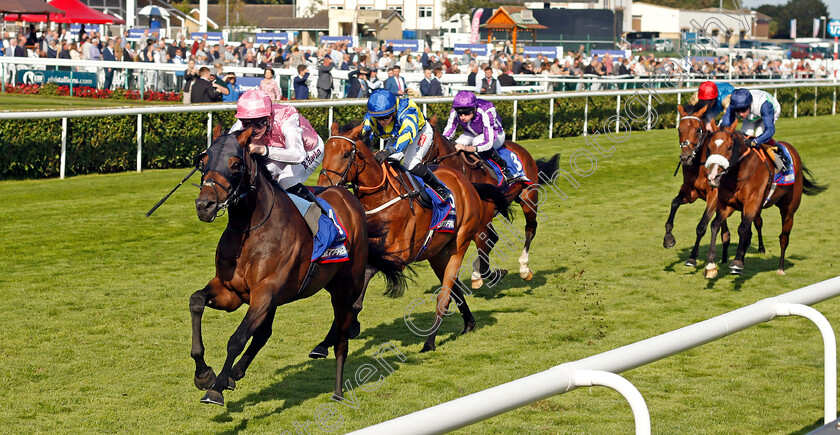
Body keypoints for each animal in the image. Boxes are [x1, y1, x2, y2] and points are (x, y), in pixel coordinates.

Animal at [194, 127, 410, 408]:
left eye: (235, 165)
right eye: (202, 162)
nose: (204, 205)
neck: (250, 229)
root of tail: (349, 197)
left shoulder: (264, 292)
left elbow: (237, 338)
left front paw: (216, 388)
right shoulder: (231, 291)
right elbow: (197, 301)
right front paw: (204, 374)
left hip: (344, 288)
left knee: (342, 338)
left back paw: (338, 389)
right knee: (263, 333)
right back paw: (236, 373)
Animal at [316, 122, 508, 354]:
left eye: (345, 154)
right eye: (325, 152)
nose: (323, 186)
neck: (381, 197)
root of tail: (467, 184)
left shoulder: (398, 254)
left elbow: (361, 285)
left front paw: (349, 326)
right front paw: (328, 340)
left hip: (459, 243)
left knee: (445, 295)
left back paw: (430, 342)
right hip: (436, 254)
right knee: (454, 289)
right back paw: (469, 322)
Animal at [668, 105, 764, 268]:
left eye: (698, 130)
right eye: (679, 129)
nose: (685, 158)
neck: (699, 165)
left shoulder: (713, 197)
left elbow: (701, 226)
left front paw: (692, 257)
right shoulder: (690, 192)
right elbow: (674, 202)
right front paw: (668, 238)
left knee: (757, 221)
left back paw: (760, 248)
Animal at [704, 124, 828, 278]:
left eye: (729, 147)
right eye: (709, 147)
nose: (713, 177)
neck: (739, 174)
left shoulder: (751, 204)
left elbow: (742, 228)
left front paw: (737, 262)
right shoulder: (727, 205)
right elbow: (715, 225)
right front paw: (711, 265)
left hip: (789, 210)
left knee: (783, 237)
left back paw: (780, 268)